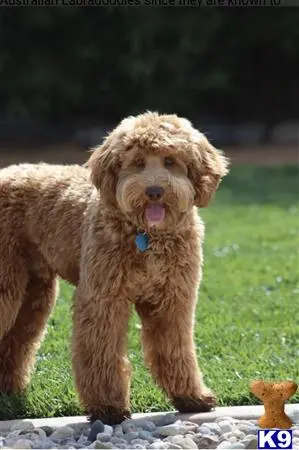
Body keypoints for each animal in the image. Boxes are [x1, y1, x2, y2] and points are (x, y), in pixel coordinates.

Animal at [0, 112, 230, 426]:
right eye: (138, 162)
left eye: (170, 161)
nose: (154, 191)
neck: (146, 235)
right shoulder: (103, 300)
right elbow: (101, 352)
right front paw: (107, 408)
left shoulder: (172, 302)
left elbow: (175, 350)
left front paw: (191, 397)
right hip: (9, 286)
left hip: (33, 294)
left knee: (16, 340)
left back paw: (8, 391)